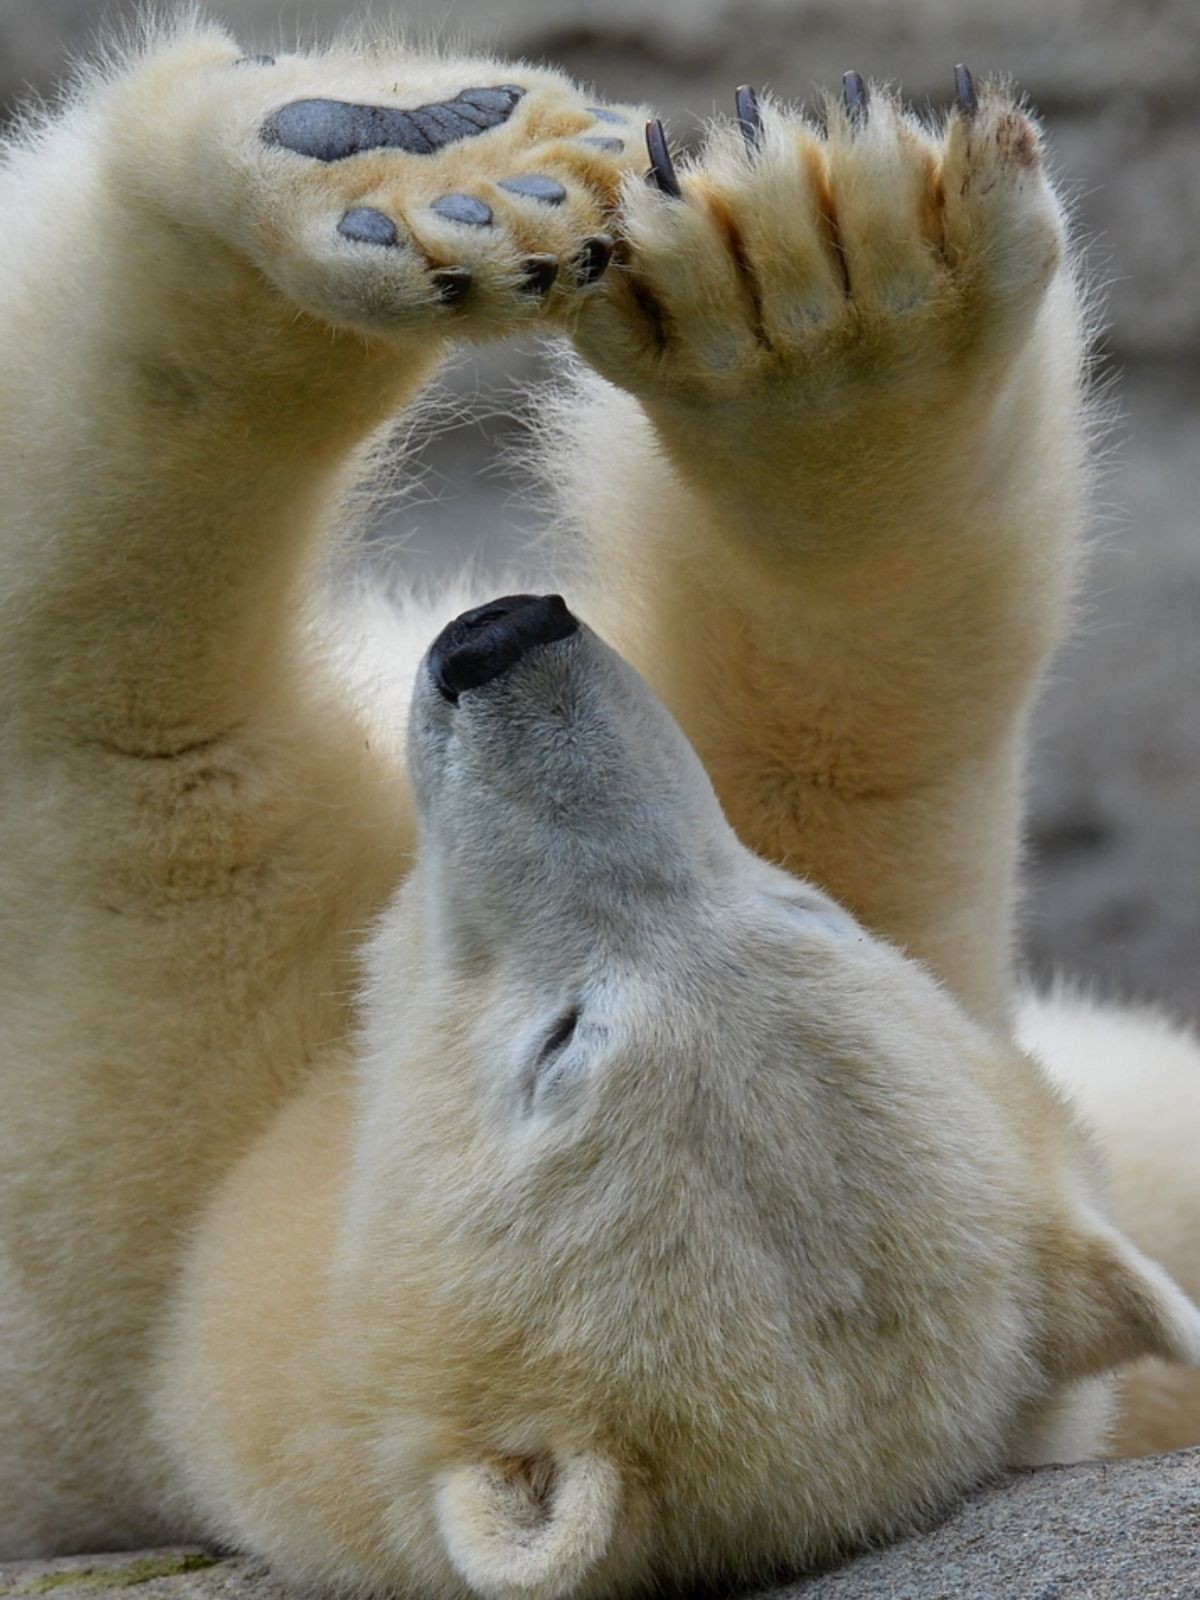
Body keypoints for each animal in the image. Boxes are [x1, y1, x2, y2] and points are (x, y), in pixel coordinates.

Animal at [2, 18, 1200, 1600]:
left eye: (557, 1049)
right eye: (804, 908)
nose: (502, 640)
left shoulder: (156, 1146)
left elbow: (109, 670)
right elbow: (851, 721)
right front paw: (803, 274)